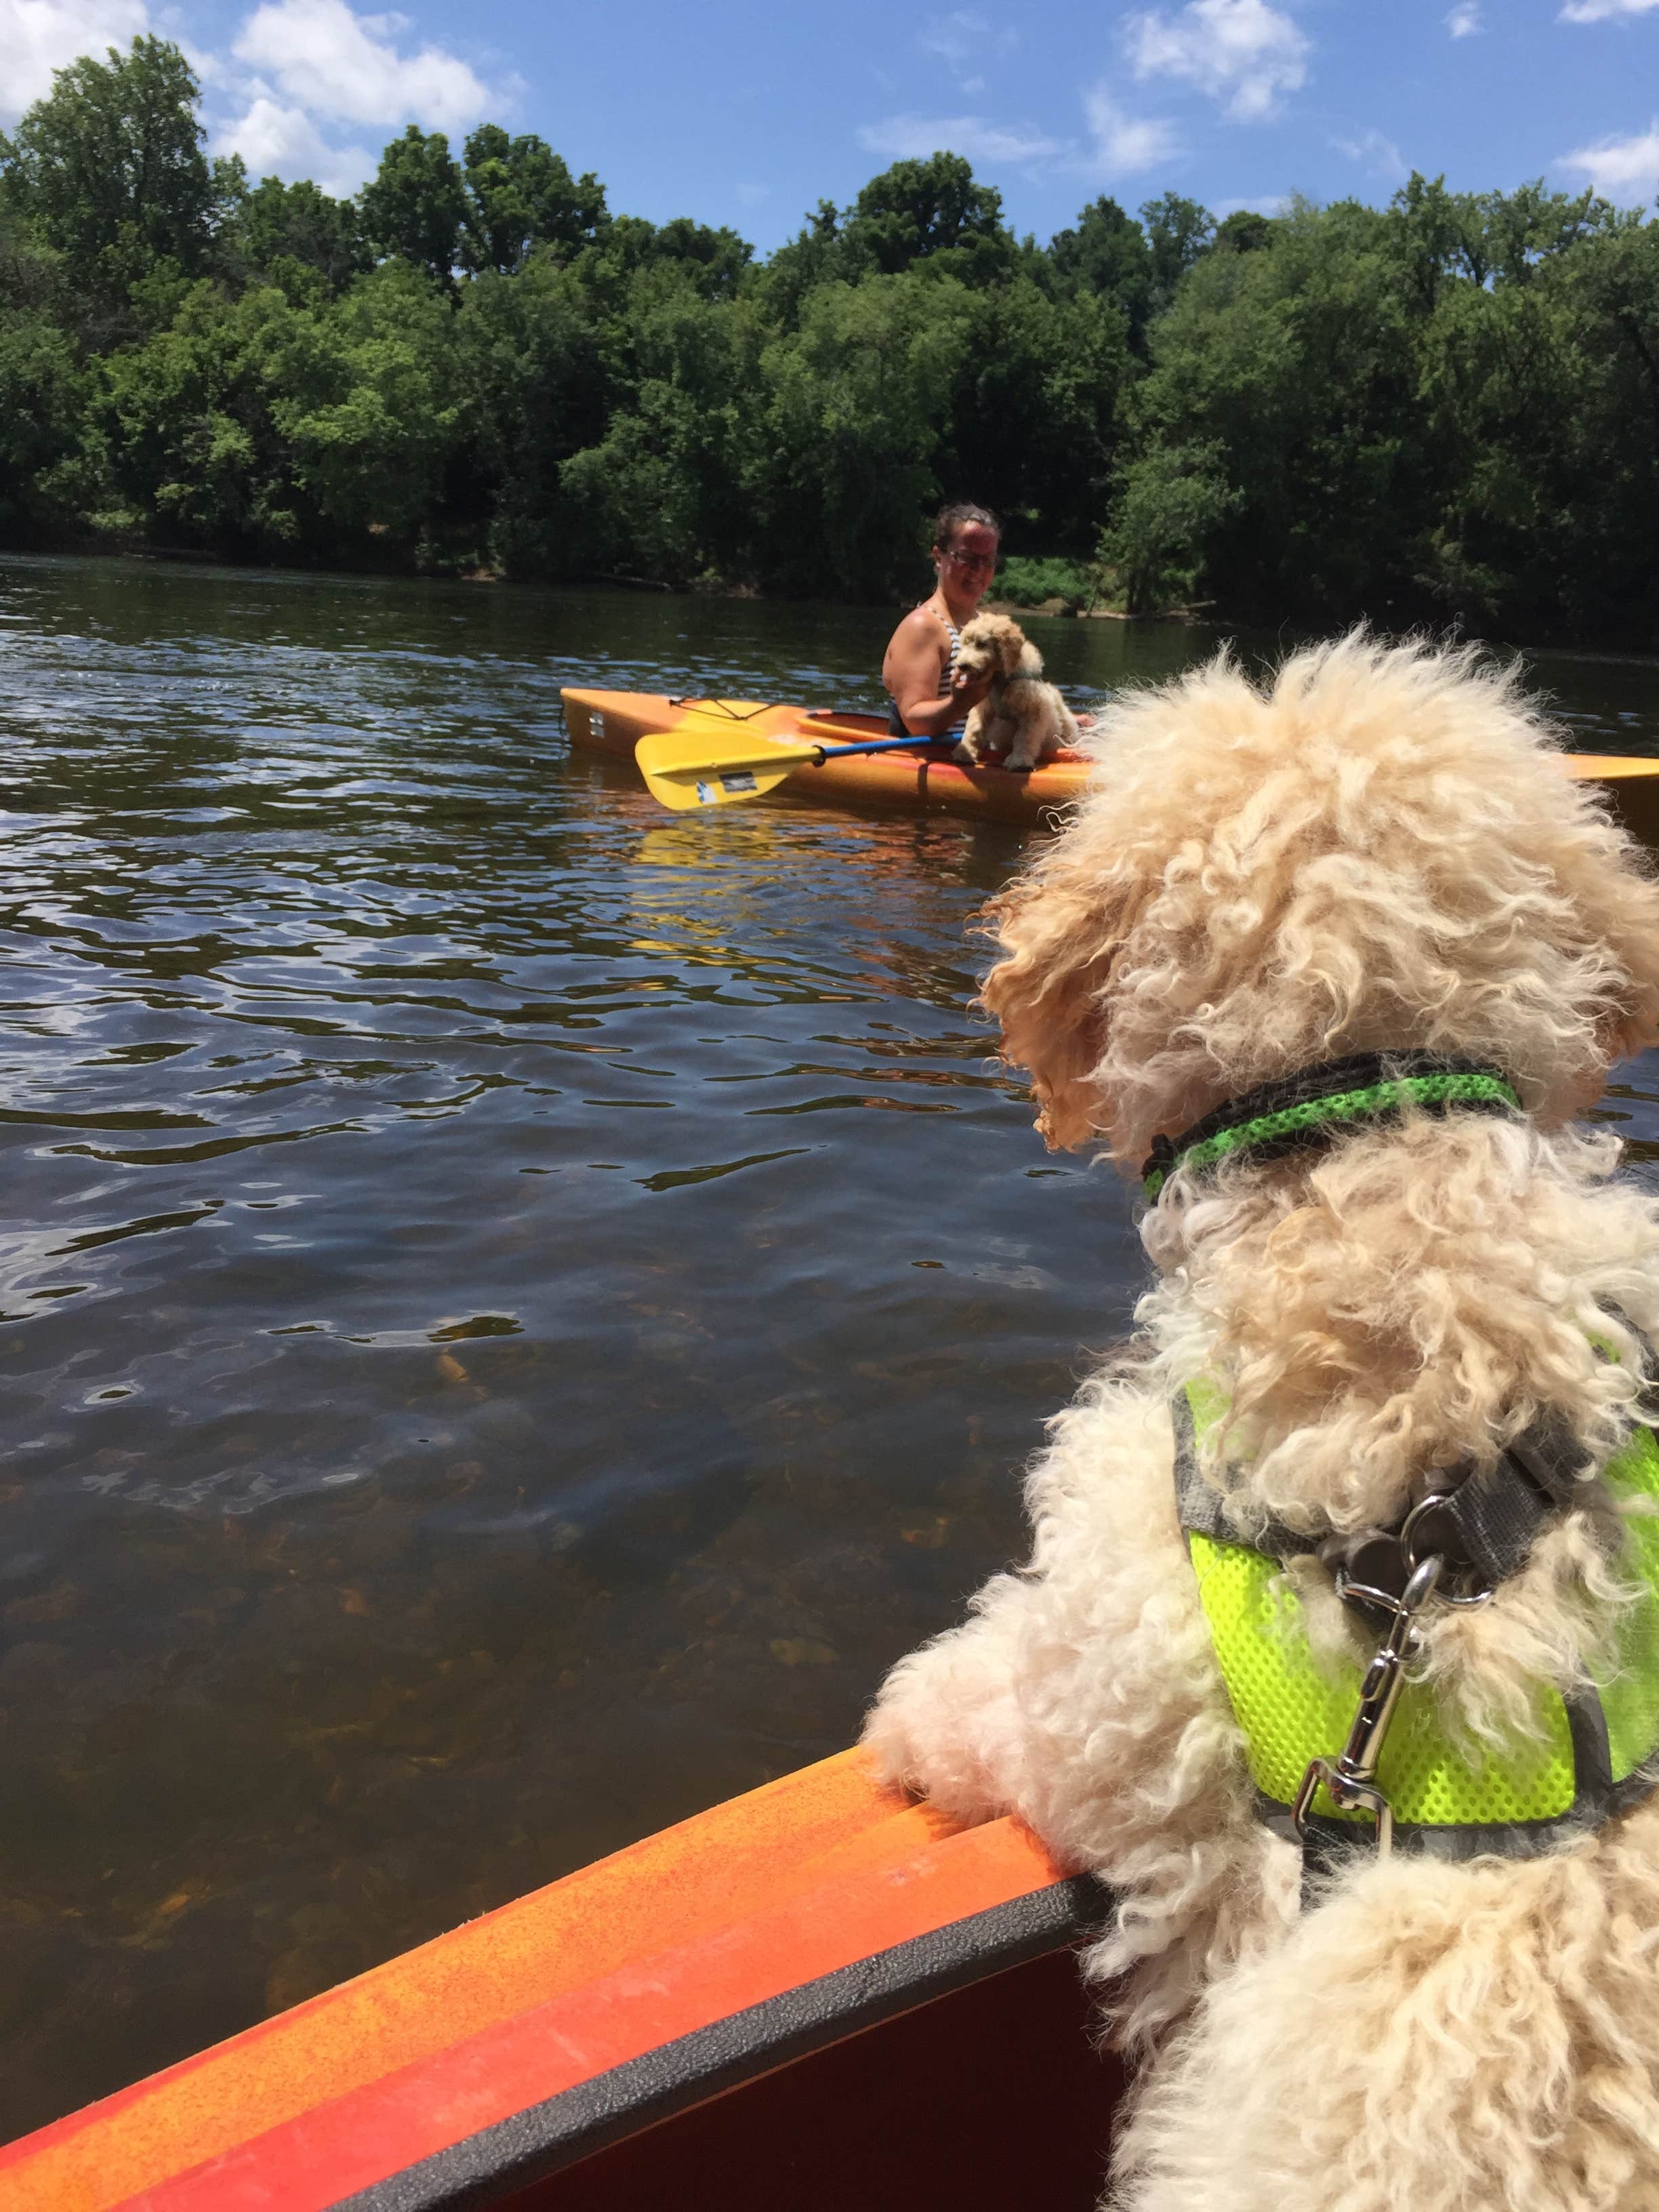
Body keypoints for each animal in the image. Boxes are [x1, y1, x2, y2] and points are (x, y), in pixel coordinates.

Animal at [956, 610, 1084, 774]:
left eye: (981, 644)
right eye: (964, 644)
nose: (961, 666)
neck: (1001, 681)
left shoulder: (1034, 711)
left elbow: (1024, 738)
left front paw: (1019, 762)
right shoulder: (983, 707)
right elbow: (974, 729)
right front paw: (964, 752)